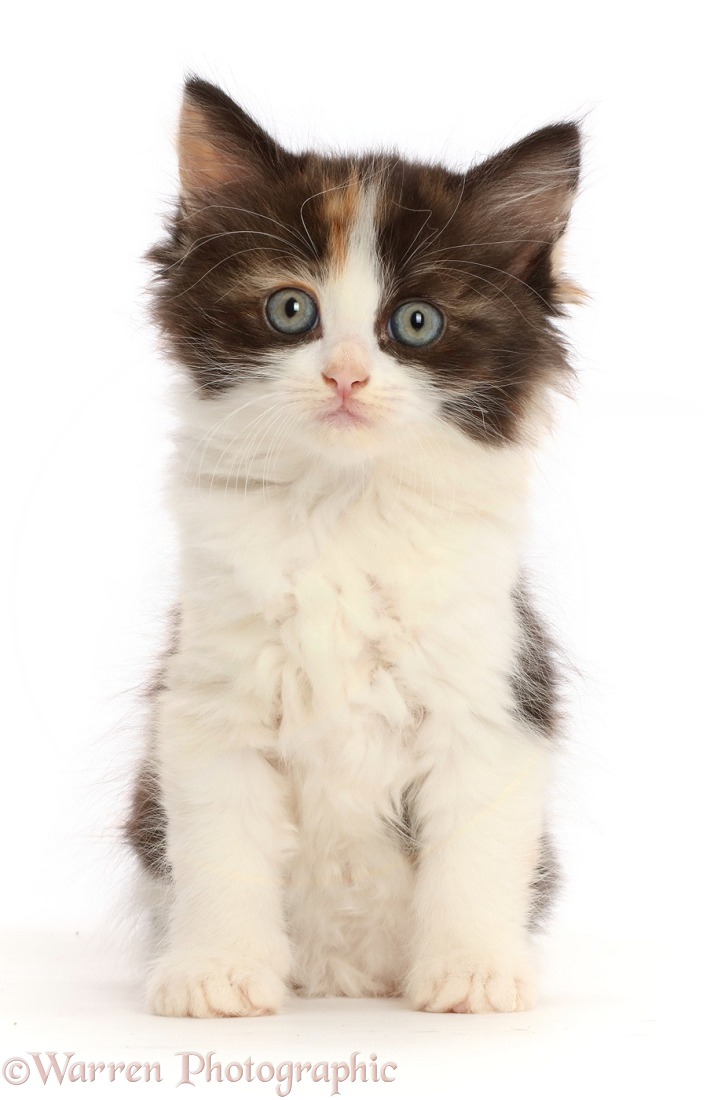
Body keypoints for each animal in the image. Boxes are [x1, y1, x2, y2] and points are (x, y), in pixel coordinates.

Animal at [126, 77, 580, 1016]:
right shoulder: (209, 704)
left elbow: (477, 853)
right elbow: (220, 852)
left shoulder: (489, 700)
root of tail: (346, 976)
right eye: (291, 309)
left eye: (416, 322)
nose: (345, 375)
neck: (343, 504)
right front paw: (218, 971)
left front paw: (473, 974)